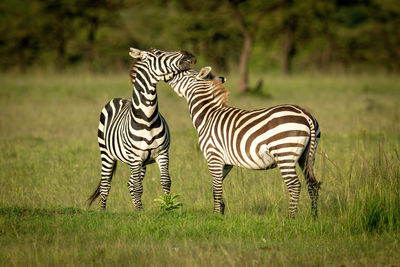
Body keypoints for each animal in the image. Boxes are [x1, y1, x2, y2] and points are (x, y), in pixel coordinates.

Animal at [90, 48, 198, 211]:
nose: (190, 55)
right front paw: (140, 212)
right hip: (107, 153)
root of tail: (121, 98)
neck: (147, 119)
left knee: (130, 183)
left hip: (141, 163)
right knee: (106, 184)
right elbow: (138, 187)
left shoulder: (162, 153)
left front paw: (167, 207)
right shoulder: (135, 157)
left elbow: (165, 181)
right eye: (159, 53)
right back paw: (103, 210)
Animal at [167, 67, 320, 220]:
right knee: (313, 184)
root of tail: (305, 114)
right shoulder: (226, 163)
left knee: (295, 185)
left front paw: (215, 216)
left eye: (183, 74)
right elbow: (217, 188)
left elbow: (216, 188)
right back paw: (314, 217)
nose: (169, 76)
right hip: (306, 157)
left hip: (285, 153)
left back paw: (290, 218)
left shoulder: (213, 156)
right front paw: (221, 212)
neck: (208, 116)